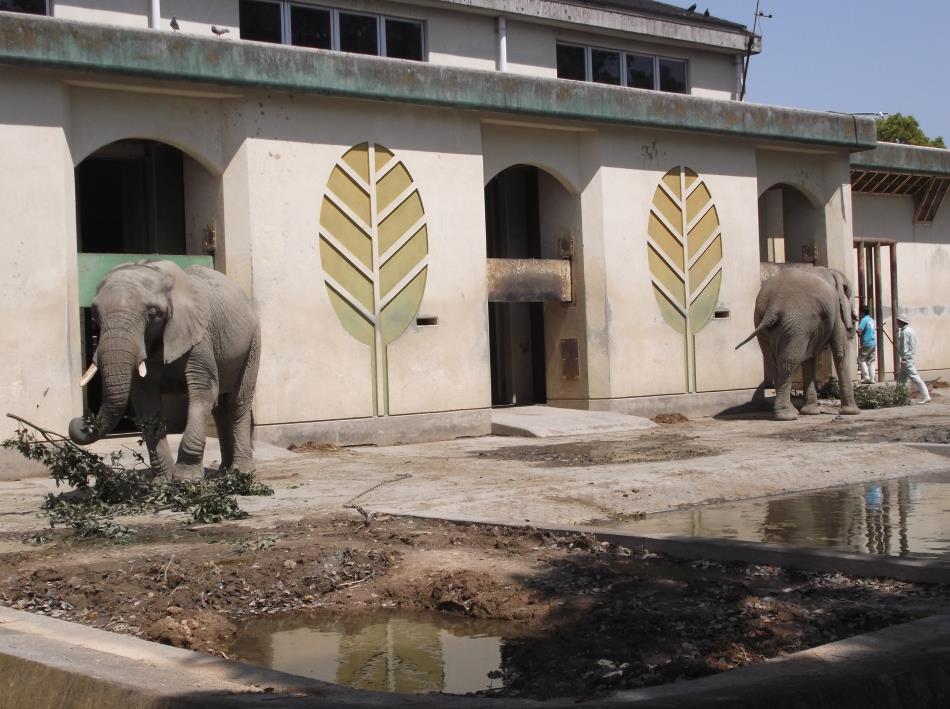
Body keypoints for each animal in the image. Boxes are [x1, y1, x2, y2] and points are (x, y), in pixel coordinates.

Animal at [67, 262, 262, 482]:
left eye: (153, 313)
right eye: (94, 313)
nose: (79, 421)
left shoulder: (200, 338)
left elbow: (202, 394)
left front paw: (186, 479)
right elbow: (146, 404)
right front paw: (163, 481)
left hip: (253, 343)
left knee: (238, 402)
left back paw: (241, 472)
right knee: (220, 408)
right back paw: (223, 471)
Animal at [736, 266, 864, 420]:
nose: (855, 322)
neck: (832, 272)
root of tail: (773, 307)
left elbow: (809, 357)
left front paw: (811, 412)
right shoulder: (836, 313)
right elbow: (839, 352)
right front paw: (852, 412)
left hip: (765, 323)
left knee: (773, 362)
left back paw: (791, 411)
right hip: (796, 323)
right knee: (787, 363)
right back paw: (787, 416)